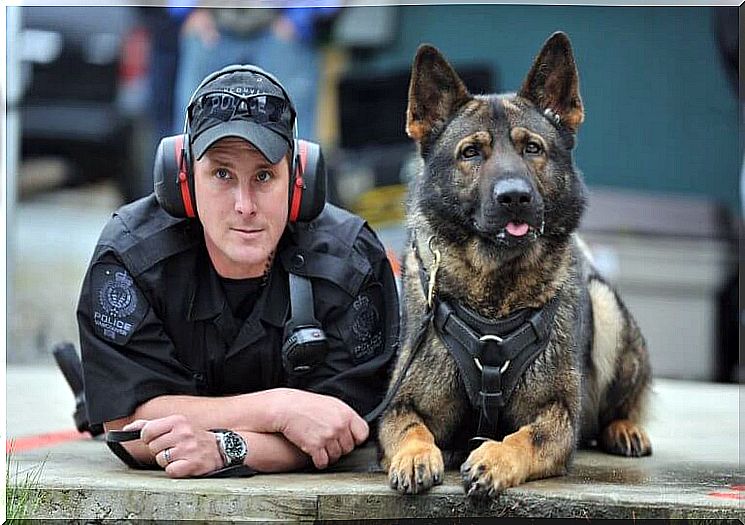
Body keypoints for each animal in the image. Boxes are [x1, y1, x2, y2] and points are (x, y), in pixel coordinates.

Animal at [378, 30, 652, 498]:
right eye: (471, 153)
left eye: (532, 148)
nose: (515, 197)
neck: (494, 294)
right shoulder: (401, 403)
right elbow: (410, 428)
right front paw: (415, 456)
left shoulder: (557, 415)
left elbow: (525, 438)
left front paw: (494, 459)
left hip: (606, 309)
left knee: (619, 406)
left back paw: (624, 428)